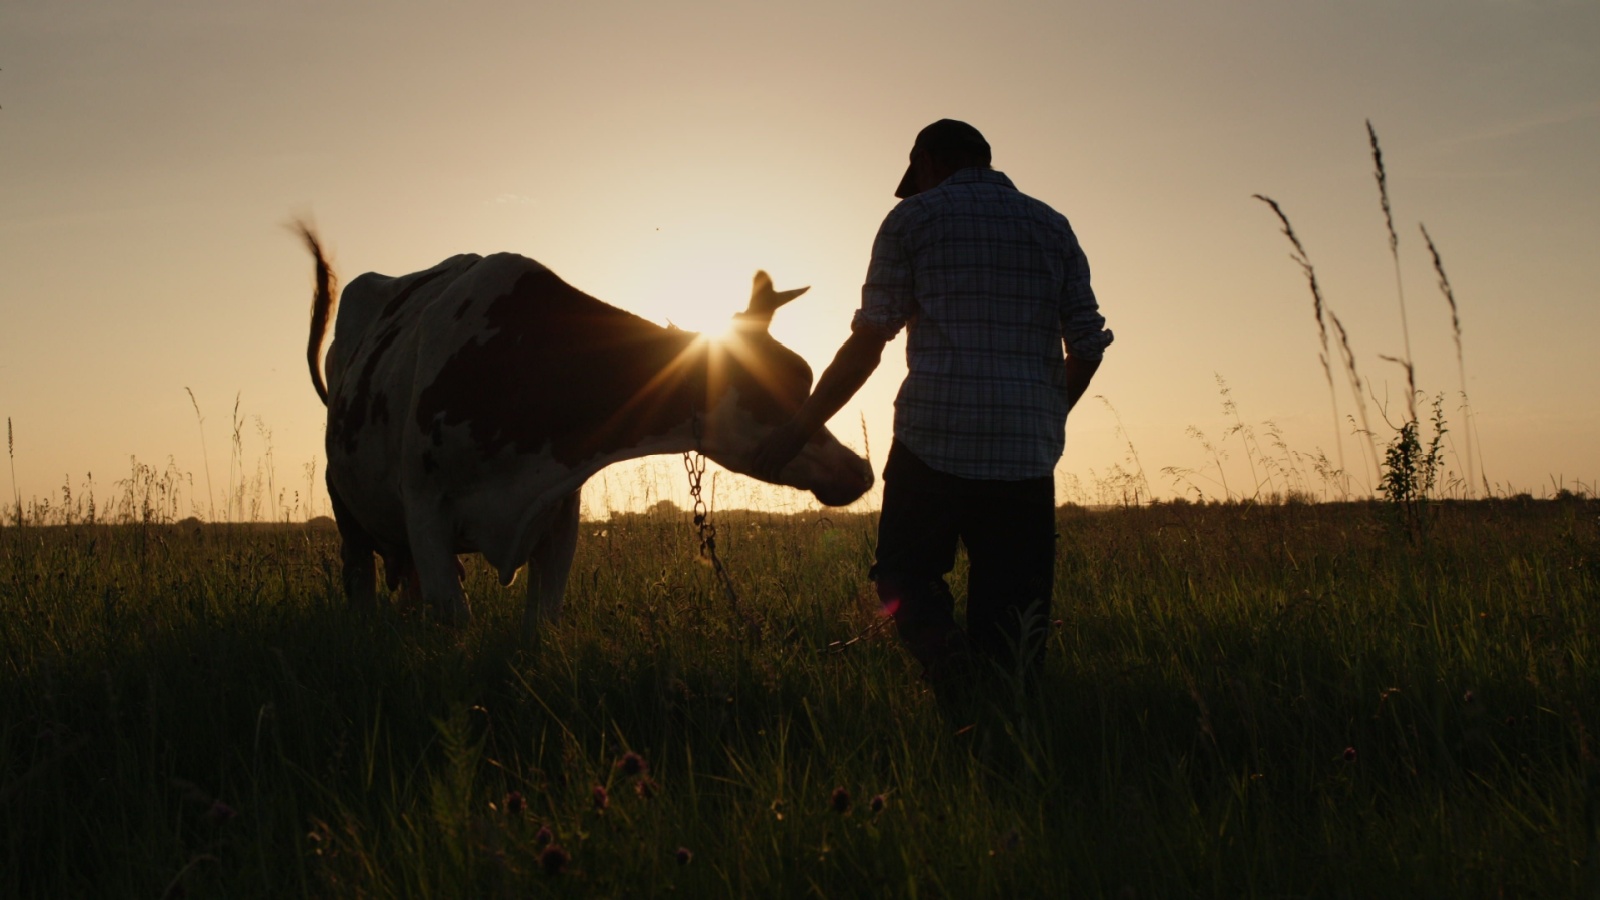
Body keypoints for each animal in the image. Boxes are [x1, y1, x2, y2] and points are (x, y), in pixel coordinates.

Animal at [300, 224, 876, 630]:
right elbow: (455, 618)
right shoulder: (426, 513)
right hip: (345, 505)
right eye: (774, 384)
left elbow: (540, 621)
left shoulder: (558, 514)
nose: (861, 470)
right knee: (360, 580)